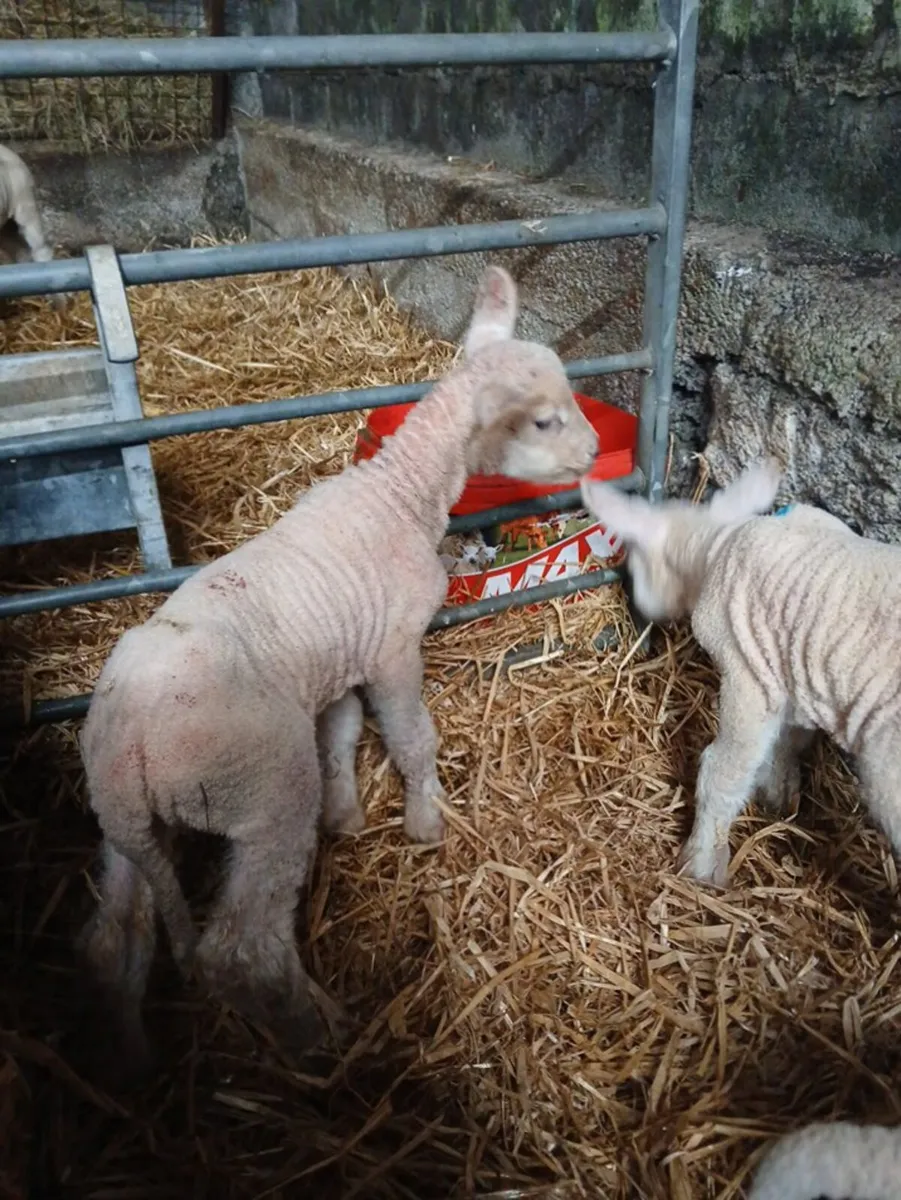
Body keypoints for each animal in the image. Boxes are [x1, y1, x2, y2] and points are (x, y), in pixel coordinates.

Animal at [77, 264, 600, 1076]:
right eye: (543, 421)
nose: (598, 448)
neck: (400, 490)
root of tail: (129, 748)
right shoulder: (391, 649)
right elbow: (410, 737)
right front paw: (425, 820)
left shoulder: (341, 662)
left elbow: (344, 734)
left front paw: (349, 813)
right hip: (262, 794)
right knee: (239, 949)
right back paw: (320, 1034)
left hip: (125, 826)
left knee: (116, 939)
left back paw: (132, 1059)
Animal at [580, 461, 901, 888]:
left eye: (634, 568)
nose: (646, 611)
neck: (714, 542)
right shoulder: (790, 668)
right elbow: (790, 740)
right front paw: (780, 790)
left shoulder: (747, 672)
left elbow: (723, 770)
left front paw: (702, 863)